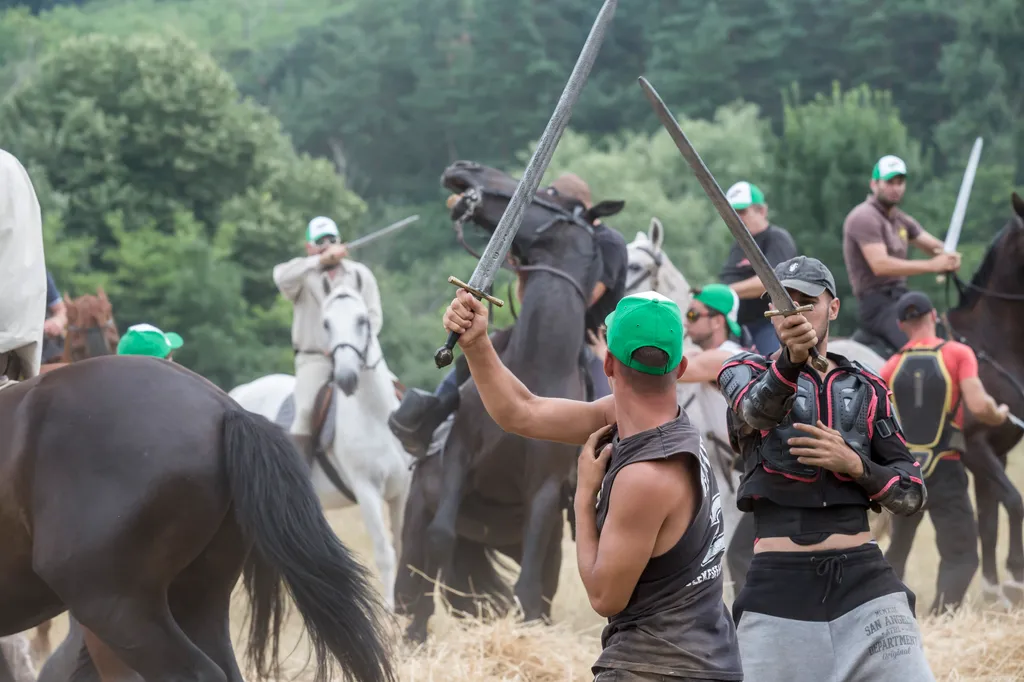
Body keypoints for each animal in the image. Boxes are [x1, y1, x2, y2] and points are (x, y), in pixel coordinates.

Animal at [229, 280, 411, 606]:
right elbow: (384, 554)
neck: (375, 416)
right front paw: (390, 611)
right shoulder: (367, 490)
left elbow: (400, 549)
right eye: (326, 323)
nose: (347, 378)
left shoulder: (401, 491)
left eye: (362, 320)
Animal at [393, 160, 622, 643]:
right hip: (423, 514)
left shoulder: (544, 494)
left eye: (550, 193)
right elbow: (440, 541)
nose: (462, 171)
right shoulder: (459, 455)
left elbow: (528, 588)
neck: (535, 368)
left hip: (537, 540)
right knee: (416, 573)